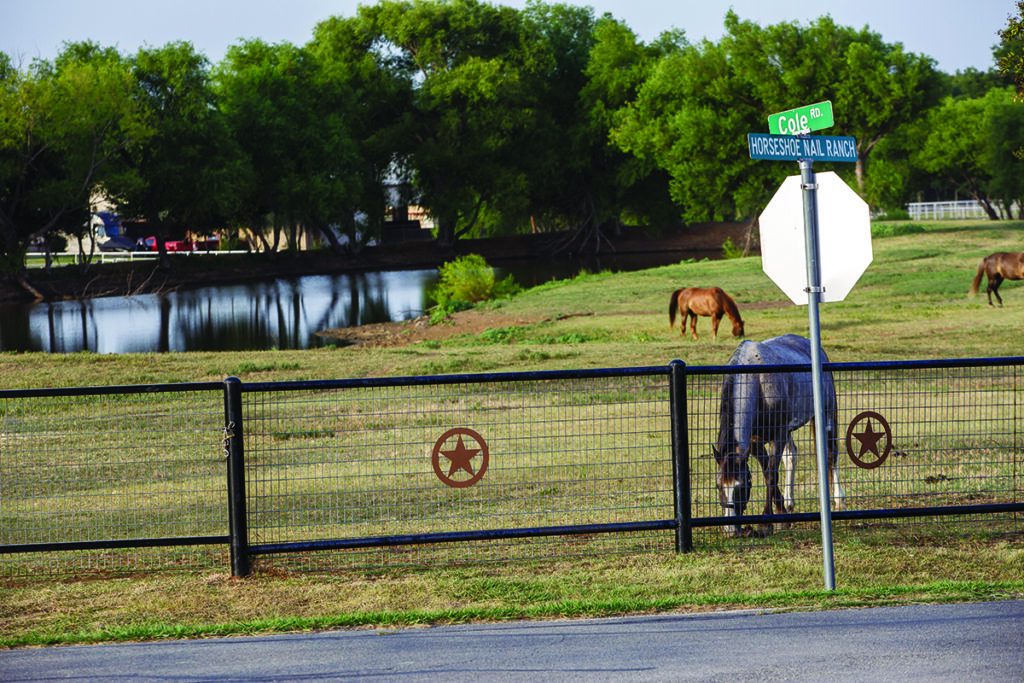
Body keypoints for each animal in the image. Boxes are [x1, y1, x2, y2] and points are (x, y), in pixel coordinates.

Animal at [712, 333, 847, 536]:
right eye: (719, 486)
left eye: (741, 486)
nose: (730, 530)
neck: (757, 380)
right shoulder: (756, 441)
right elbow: (768, 472)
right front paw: (782, 512)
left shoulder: (779, 433)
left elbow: (771, 474)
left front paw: (767, 523)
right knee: (791, 457)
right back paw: (790, 503)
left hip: (827, 415)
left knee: (832, 456)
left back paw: (839, 501)